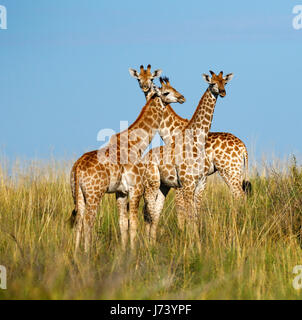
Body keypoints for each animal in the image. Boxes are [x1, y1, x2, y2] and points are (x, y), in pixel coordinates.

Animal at [69, 68, 185, 252]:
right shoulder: (135, 188)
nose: (182, 97)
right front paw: (133, 252)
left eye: (174, 87)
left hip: (77, 194)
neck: (136, 143)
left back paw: (76, 253)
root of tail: (77, 168)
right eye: (166, 92)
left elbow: (123, 223)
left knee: (79, 221)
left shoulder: (121, 192)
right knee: (88, 221)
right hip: (95, 194)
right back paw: (87, 253)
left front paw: (124, 252)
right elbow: (134, 223)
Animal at [130, 68, 250, 242]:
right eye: (139, 79)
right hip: (232, 171)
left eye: (152, 78)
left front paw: (185, 234)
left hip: (229, 170)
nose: (146, 88)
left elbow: (184, 210)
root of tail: (243, 147)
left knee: (239, 196)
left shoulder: (188, 181)